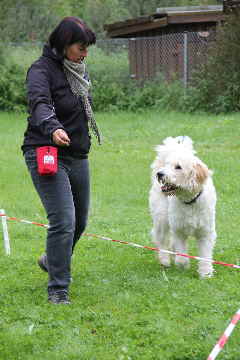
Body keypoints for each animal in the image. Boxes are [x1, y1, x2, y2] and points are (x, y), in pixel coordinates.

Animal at [149, 136, 217, 278]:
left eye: (178, 167)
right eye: (168, 165)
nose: (160, 174)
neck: (190, 201)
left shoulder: (206, 233)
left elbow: (205, 256)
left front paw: (205, 273)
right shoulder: (178, 231)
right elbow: (181, 256)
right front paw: (182, 265)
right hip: (161, 219)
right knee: (161, 240)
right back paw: (164, 260)